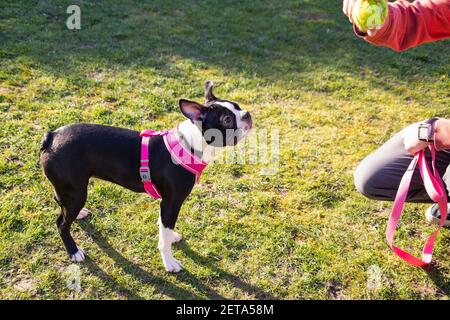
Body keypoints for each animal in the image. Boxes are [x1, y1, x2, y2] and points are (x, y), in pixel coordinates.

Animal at [39, 81, 253, 272]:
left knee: (59, 202)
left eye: (238, 107)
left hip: (70, 190)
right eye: (227, 120)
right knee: (61, 223)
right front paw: (169, 263)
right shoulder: (171, 203)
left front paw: (170, 236)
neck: (189, 144)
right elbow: (164, 238)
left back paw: (80, 215)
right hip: (75, 192)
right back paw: (73, 251)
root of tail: (51, 136)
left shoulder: (165, 204)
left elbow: (164, 228)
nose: (247, 114)